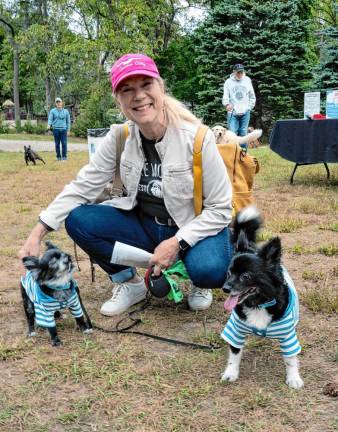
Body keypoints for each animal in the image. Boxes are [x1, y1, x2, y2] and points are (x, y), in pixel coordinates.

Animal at [220, 206, 304, 388]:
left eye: (245, 276)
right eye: (229, 273)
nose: (225, 288)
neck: (258, 304)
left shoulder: (288, 337)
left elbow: (290, 359)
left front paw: (293, 378)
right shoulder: (235, 331)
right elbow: (234, 354)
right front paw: (230, 373)